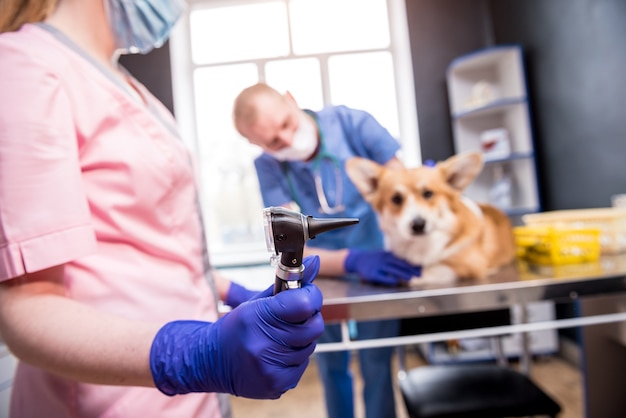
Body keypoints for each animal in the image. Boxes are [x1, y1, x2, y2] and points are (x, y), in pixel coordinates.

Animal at [344, 153, 516, 288]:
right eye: (396, 199)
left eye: (428, 193)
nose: (418, 225)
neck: (421, 245)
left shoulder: (472, 265)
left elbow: (437, 269)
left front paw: (413, 276)